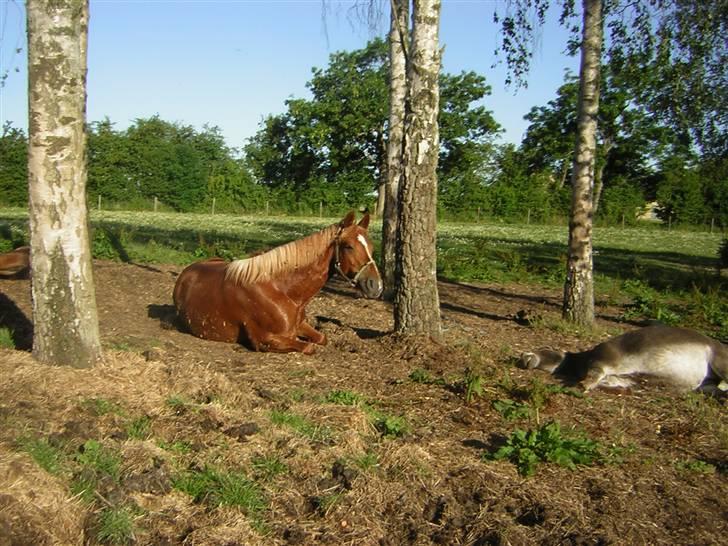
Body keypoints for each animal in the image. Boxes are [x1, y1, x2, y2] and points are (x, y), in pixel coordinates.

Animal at [174, 208, 384, 352]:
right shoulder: (265, 340)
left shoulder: (300, 325)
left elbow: (321, 338)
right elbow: (309, 347)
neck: (281, 290)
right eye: (348, 246)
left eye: (371, 246)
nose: (376, 286)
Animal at [520, 324, 724, 396]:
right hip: (706, 385)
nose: (523, 356)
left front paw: (584, 384)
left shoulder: (603, 359)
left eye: (544, 348)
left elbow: (594, 374)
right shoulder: (618, 378)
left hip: (719, 361)